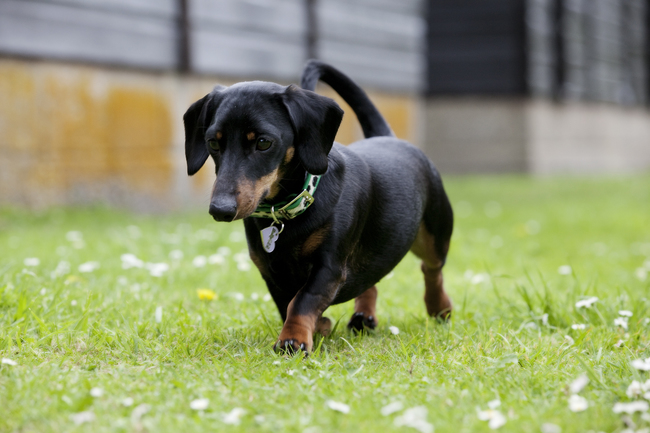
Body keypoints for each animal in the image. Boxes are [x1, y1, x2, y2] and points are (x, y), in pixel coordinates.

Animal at [182, 60, 454, 352]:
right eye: (213, 142)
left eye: (263, 142)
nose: (220, 210)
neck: (288, 210)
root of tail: (388, 136)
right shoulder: (271, 271)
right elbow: (287, 303)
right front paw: (318, 326)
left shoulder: (329, 267)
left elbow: (302, 300)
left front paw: (293, 340)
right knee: (370, 280)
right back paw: (364, 316)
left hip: (434, 234)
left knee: (432, 269)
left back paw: (440, 308)